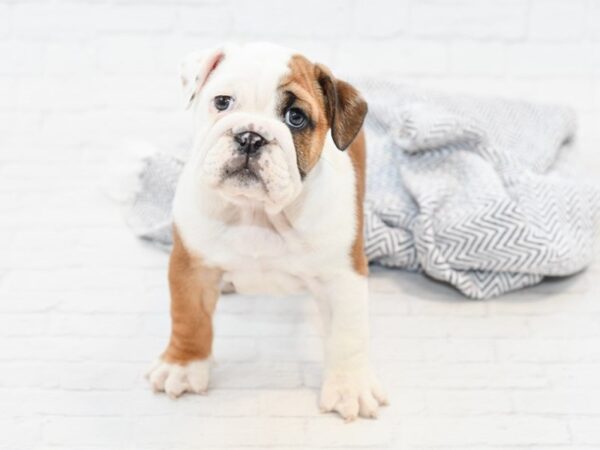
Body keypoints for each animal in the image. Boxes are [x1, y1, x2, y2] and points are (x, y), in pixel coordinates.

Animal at [148, 42, 386, 422]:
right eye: (222, 102)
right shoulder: (191, 266)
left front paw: (350, 387)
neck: (257, 213)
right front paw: (182, 367)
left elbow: (348, 335)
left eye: (296, 118)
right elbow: (189, 318)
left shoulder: (342, 277)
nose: (250, 136)